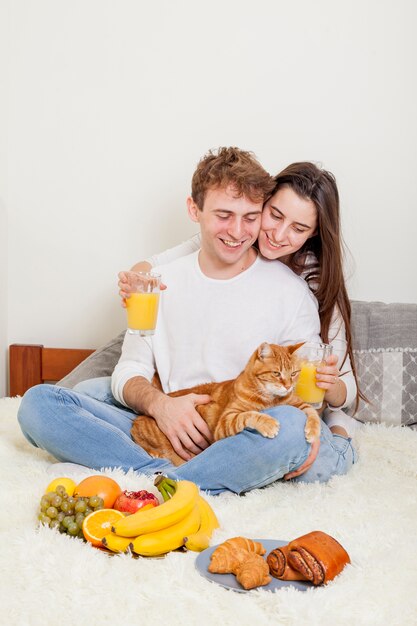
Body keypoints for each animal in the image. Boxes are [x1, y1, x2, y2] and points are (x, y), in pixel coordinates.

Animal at [132, 342, 320, 464]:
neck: (270, 399)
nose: (288, 386)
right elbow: (248, 415)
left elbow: (312, 412)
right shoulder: (225, 422)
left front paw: (313, 432)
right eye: (276, 373)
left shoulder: (298, 403)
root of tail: (138, 419)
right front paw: (268, 422)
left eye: (294, 373)